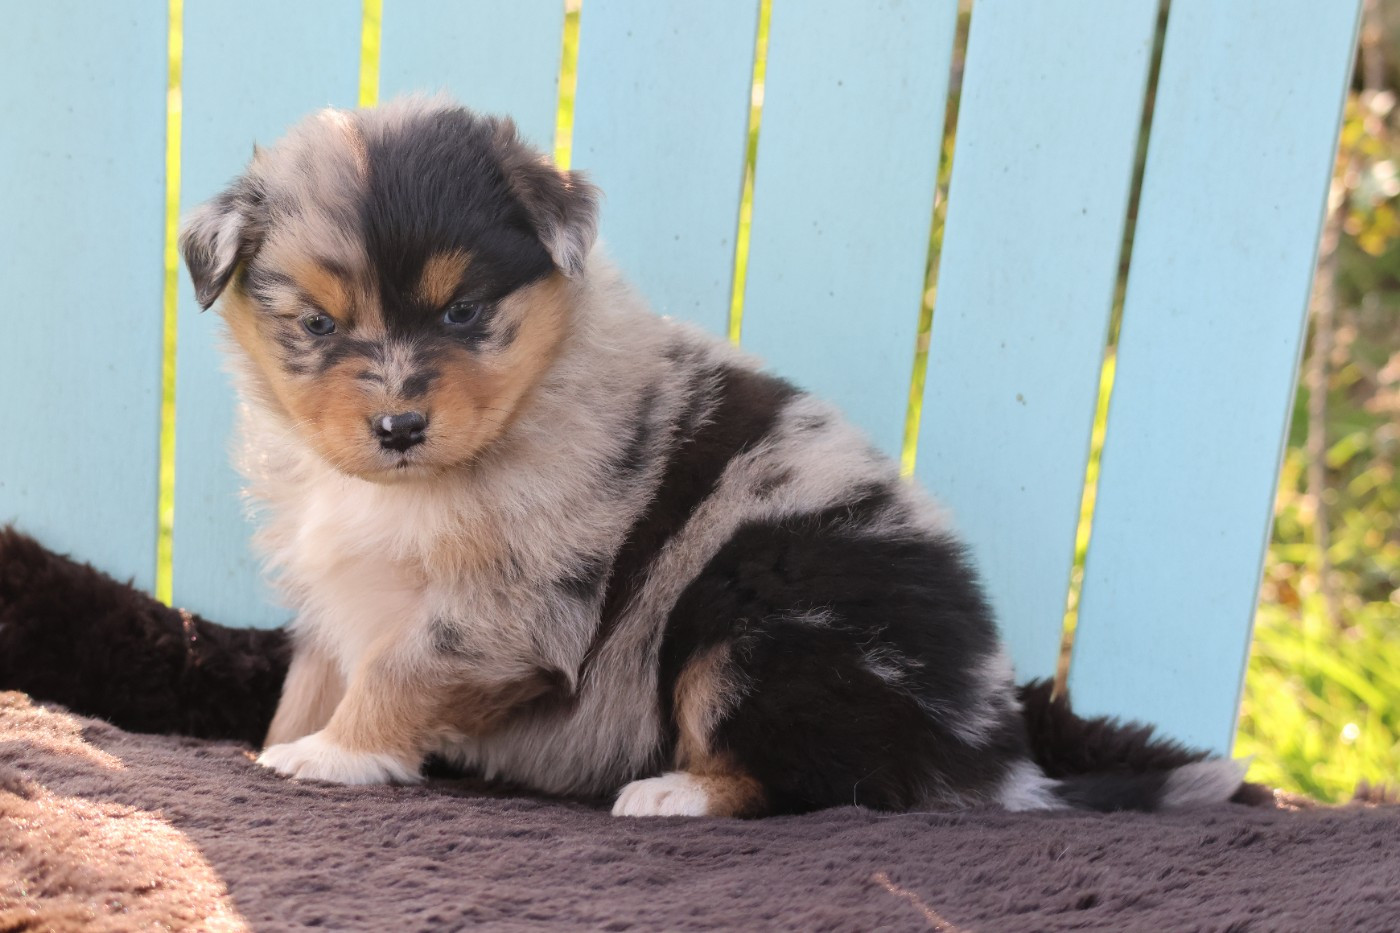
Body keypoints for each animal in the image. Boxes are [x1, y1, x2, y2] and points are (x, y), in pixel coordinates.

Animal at [178, 96, 1244, 817]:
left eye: (464, 312)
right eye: (317, 323)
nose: (399, 427)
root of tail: (995, 752)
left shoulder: (509, 605)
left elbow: (397, 672)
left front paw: (331, 755)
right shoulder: (336, 592)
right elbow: (315, 677)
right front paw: (282, 743)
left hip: (756, 623)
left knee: (827, 783)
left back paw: (673, 792)